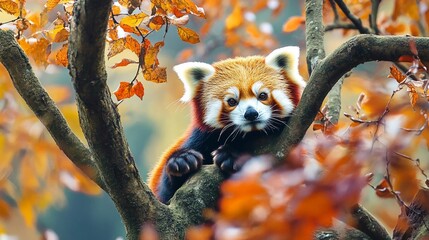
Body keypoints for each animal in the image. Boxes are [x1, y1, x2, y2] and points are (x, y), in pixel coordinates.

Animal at [147, 46, 304, 202]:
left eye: (263, 95)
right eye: (232, 101)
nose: (251, 113)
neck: (249, 135)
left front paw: (231, 155)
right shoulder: (201, 139)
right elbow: (166, 194)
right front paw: (182, 160)